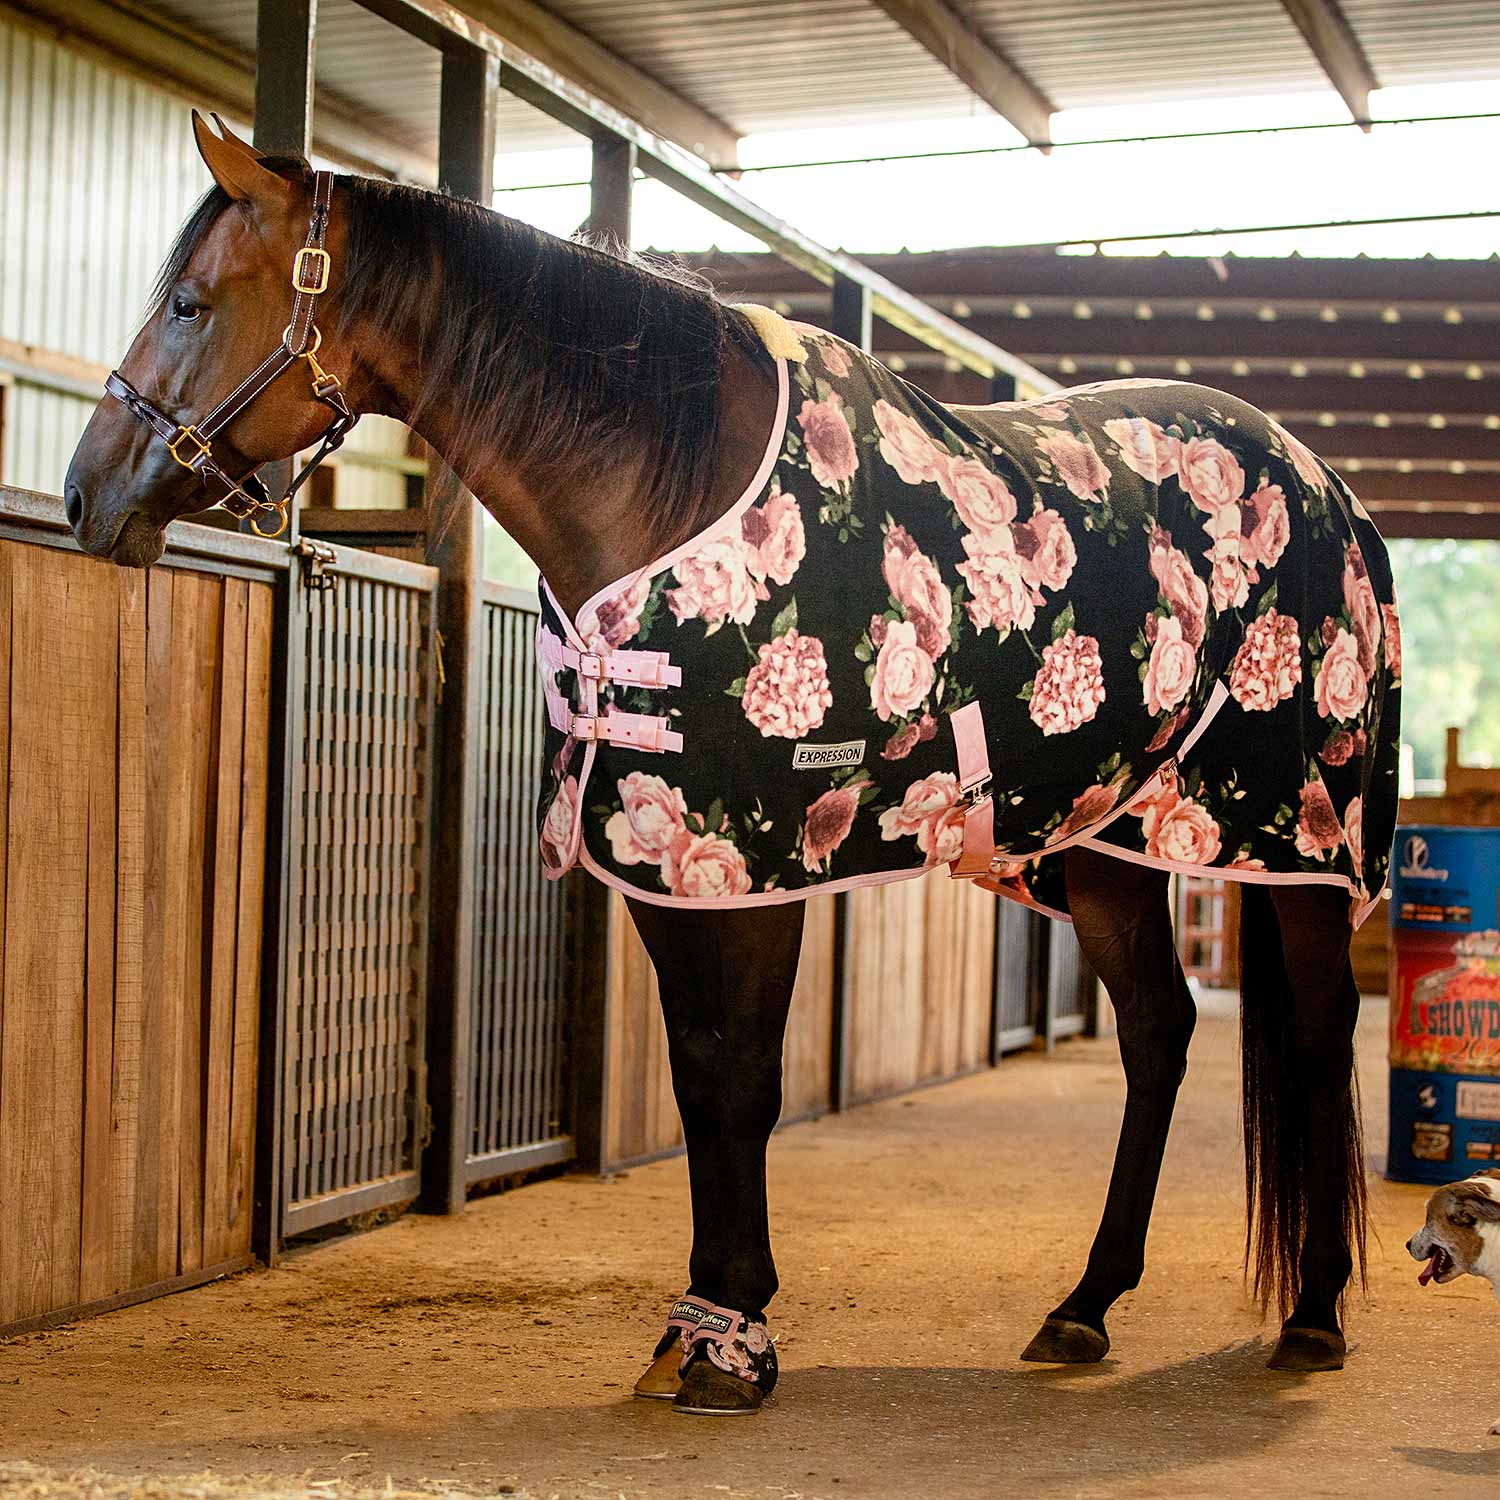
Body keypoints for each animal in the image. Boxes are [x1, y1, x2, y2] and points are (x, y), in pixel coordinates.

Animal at [65, 114, 1400, 1417]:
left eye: (189, 302)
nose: (86, 495)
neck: (672, 486)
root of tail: (1332, 490)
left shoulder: (759, 859)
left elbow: (746, 1077)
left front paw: (732, 1340)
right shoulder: (671, 864)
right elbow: (703, 1074)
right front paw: (702, 1325)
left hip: (1302, 840)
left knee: (1321, 1031)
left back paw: (1317, 1313)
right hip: (1115, 839)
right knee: (1161, 1033)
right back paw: (1086, 1304)